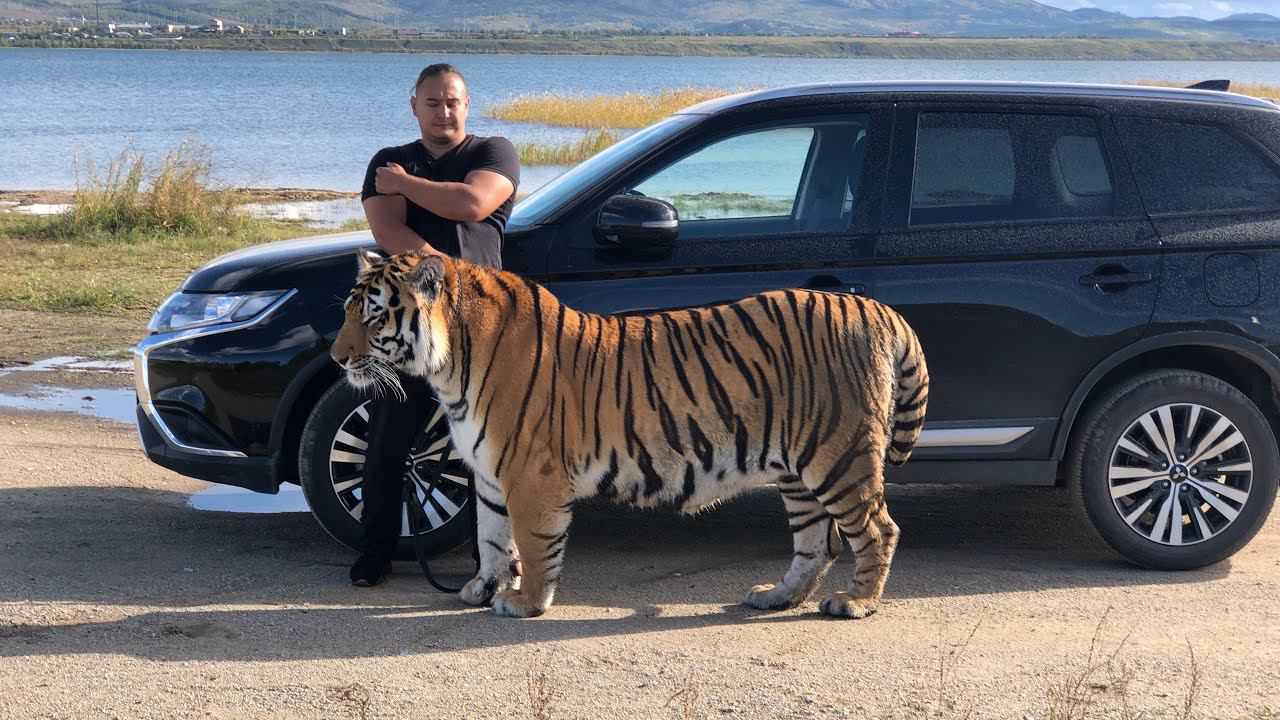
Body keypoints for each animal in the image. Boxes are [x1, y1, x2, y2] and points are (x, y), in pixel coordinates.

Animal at [330, 249, 929, 619]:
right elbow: (491, 538)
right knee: (816, 541)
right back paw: (776, 596)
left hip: (839, 457)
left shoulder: (530, 474)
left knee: (878, 529)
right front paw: (482, 588)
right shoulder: (490, 475)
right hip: (798, 471)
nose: (336, 358)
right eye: (347, 309)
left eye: (374, 316)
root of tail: (876, 308)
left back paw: (856, 602)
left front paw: (525, 602)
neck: (449, 366)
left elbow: (532, 541)